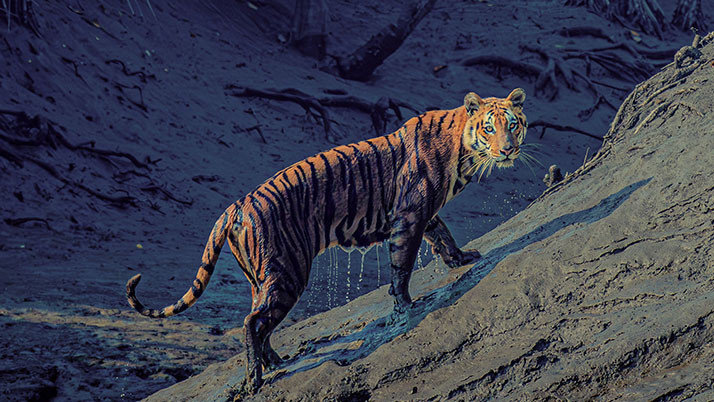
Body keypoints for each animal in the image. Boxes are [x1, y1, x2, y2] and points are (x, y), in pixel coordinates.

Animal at [126, 88, 528, 394]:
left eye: (512, 124)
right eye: (489, 128)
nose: (508, 150)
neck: (462, 151)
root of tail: (236, 205)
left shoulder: (423, 213)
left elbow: (442, 235)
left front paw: (462, 258)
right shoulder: (410, 214)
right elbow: (402, 266)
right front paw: (406, 305)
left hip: (261, 277)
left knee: (259, 318)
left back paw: (276, 361)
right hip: (287, 272)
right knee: (252, 322)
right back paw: (255, 379)